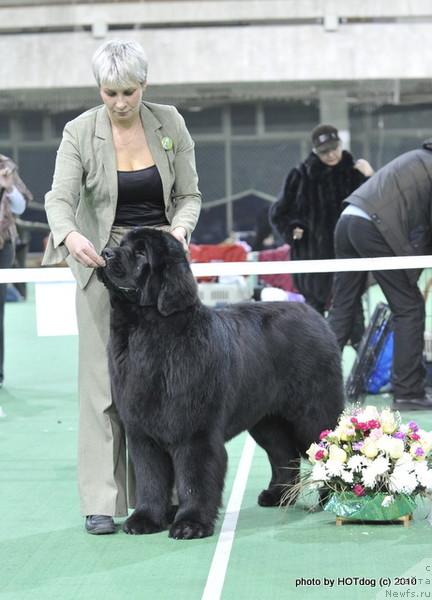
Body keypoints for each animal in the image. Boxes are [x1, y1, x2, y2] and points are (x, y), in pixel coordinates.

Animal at [98, 229, 344, 540]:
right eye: (122, 245)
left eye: (141, 253)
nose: (105, 253)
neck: (145, 333)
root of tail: (316, 316)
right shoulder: (142, 433)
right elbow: (150, 478)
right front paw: (146, 519)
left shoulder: (195, 433)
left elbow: (193, 480)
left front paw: (190, 523)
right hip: (266, 421)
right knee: (283, 455)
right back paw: (277, 496)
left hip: (312, 415)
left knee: (329, 450)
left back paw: (331, 496)